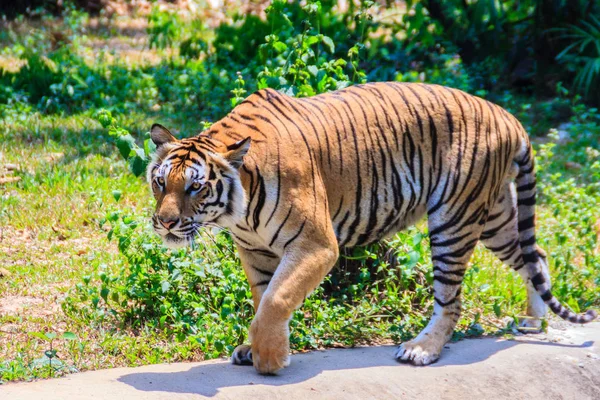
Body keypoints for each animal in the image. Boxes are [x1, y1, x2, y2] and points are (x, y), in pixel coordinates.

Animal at [145, 81, 596, 376]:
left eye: (195, 186)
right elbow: (263, 298)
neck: (236, 211)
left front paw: (269, 358)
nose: (165, 222)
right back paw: (534, 322)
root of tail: (506, 114)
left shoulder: (316, 244)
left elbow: (277, 299)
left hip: (453, 219)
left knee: (451, 299)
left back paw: (421, 349)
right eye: (160, 182)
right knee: (536, 256)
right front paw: (256, 346)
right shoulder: (255, 251)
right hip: (495, 219)